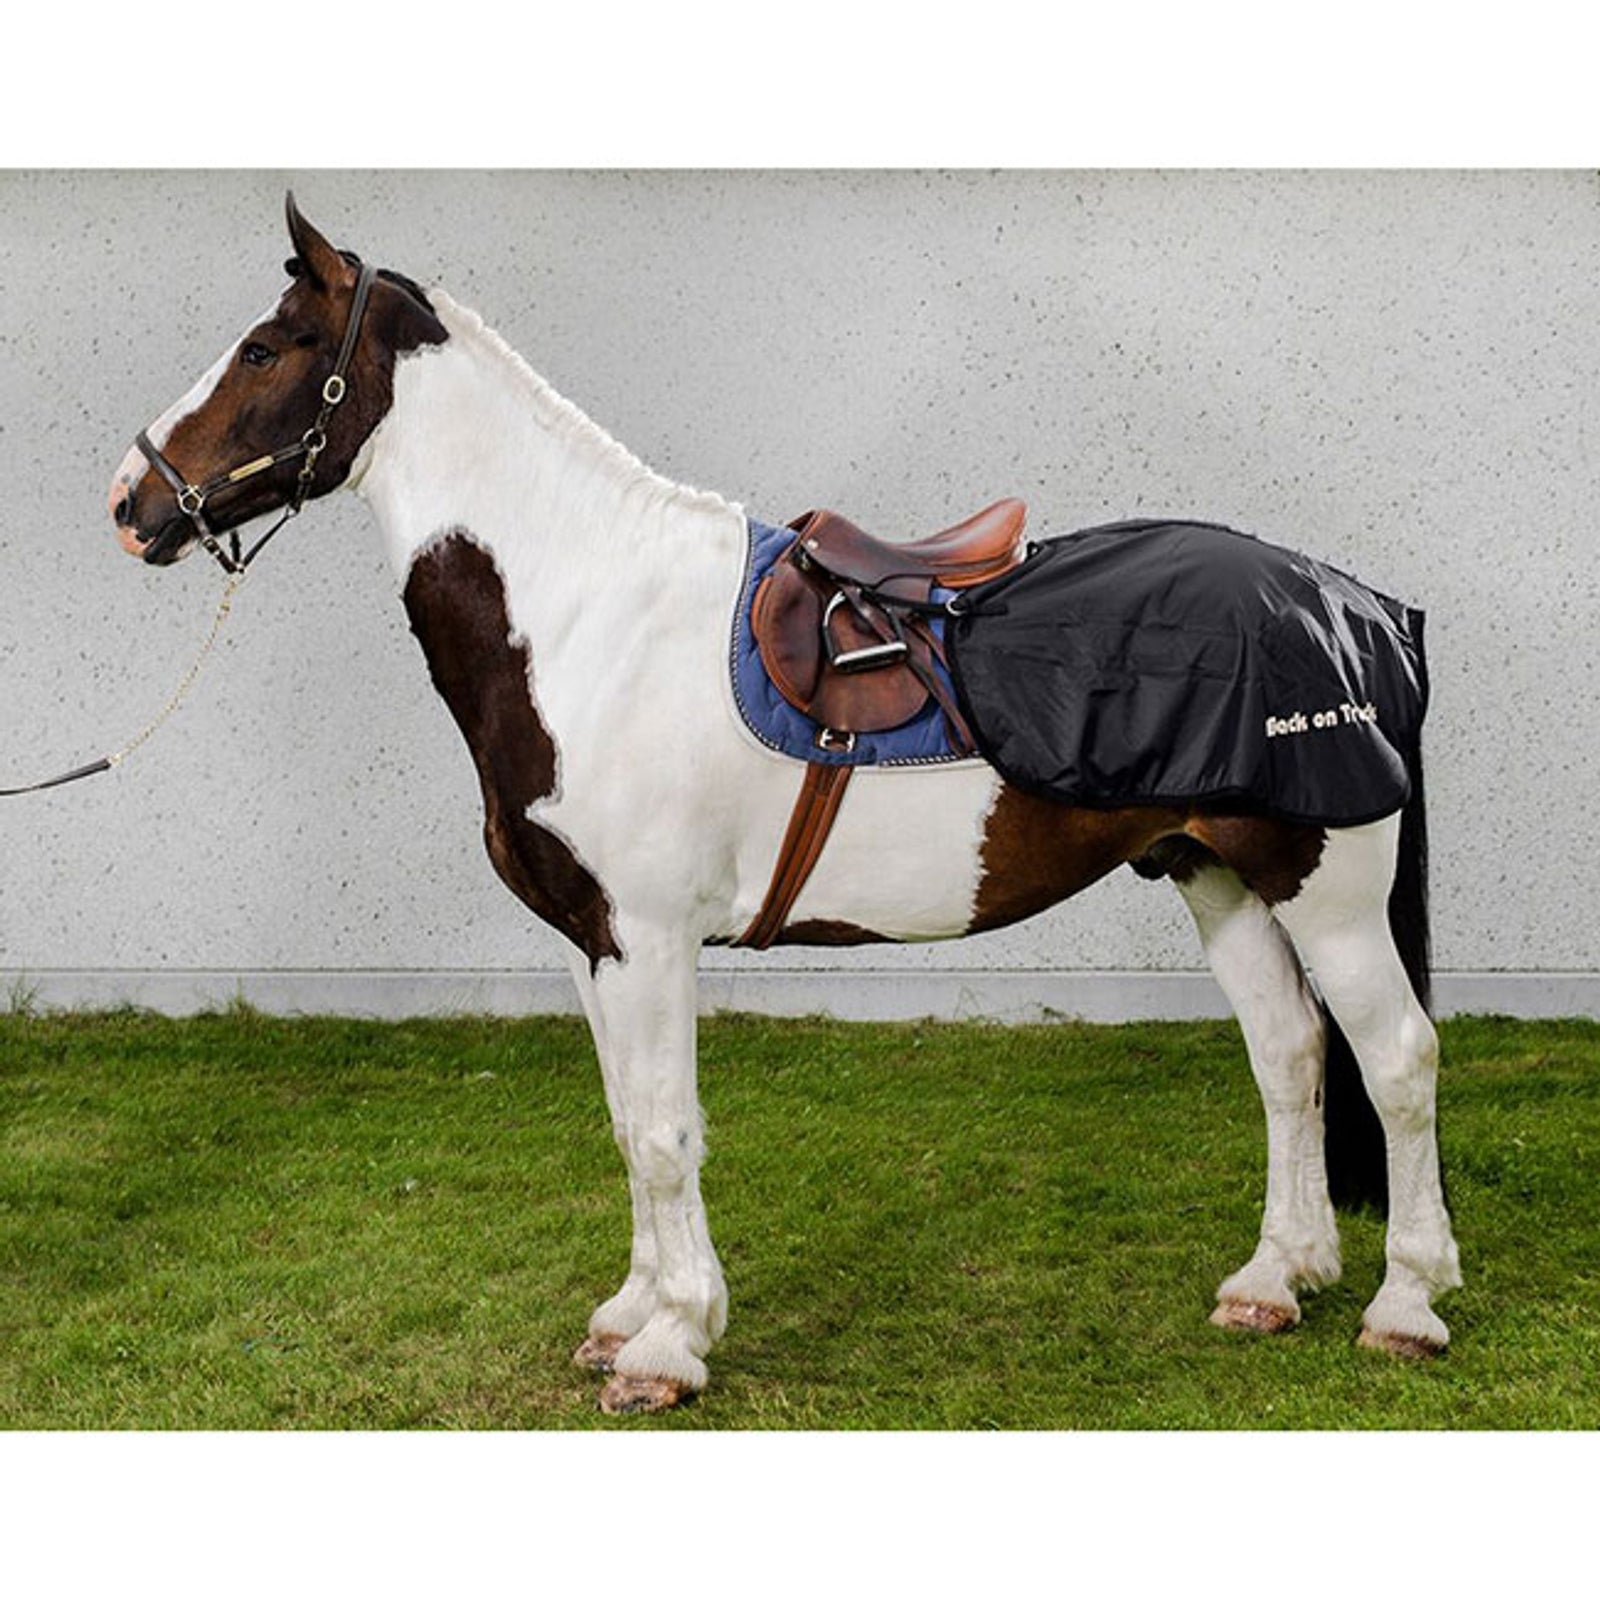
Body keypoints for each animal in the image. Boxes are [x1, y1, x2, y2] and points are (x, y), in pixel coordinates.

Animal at [107, 194, 1461, 1414]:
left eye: (267, 347)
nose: (130, 498)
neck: (589, 616)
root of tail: (1356, 605)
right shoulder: (594, 942)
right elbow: (627, 1123)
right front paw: (630, 1314)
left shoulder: (650, 938)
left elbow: (665, 1130)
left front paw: (670, 1344)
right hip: (1216, 873)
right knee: (1288, 1054)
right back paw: (1274, 1281)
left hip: (1329, 890)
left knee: (1395, 1058)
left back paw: (1404, 1304)